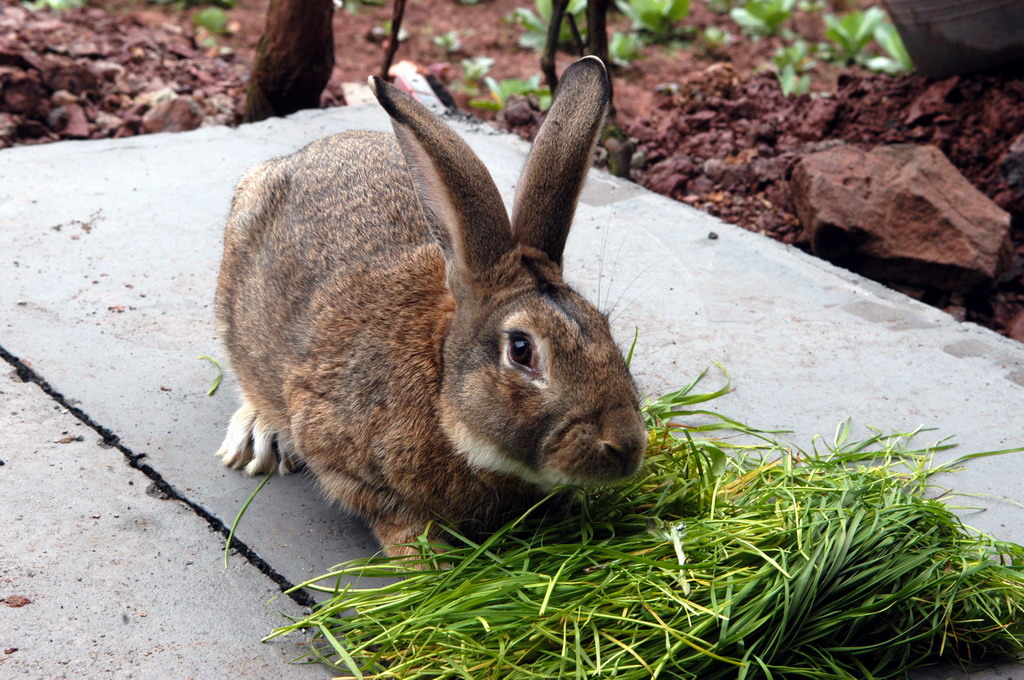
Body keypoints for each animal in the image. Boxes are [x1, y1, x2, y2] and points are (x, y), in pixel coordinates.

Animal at [216, 57, 647, 557]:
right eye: (521, 350)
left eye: (605, 327)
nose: (626, 446)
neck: (441, 384)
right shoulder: (338, 452)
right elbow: (393, 514)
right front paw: (426, 561)